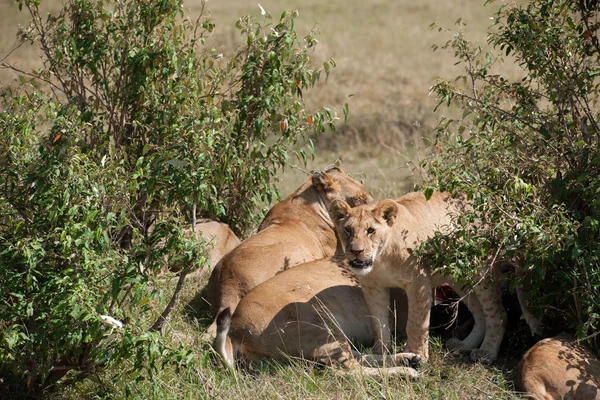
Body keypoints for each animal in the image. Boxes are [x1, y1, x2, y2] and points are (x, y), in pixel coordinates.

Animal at [213, 256, 420, 378]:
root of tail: (235, 329)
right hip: (320, 322)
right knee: (346, 371)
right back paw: (405, 371)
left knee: (358, 356)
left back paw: (409, 359)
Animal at [328, 192, 506, 364]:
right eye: (348, 230)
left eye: (370, 230)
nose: (356, 251)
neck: (380, 260)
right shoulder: (373, 287)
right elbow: (378, 322)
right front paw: (380, 352)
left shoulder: (418, 282)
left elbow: (416, 323)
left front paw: (416, 355)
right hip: (460, 279)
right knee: (480, 314)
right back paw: (464, 345)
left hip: (483, 270)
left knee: (497, 314)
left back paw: (486, 352)